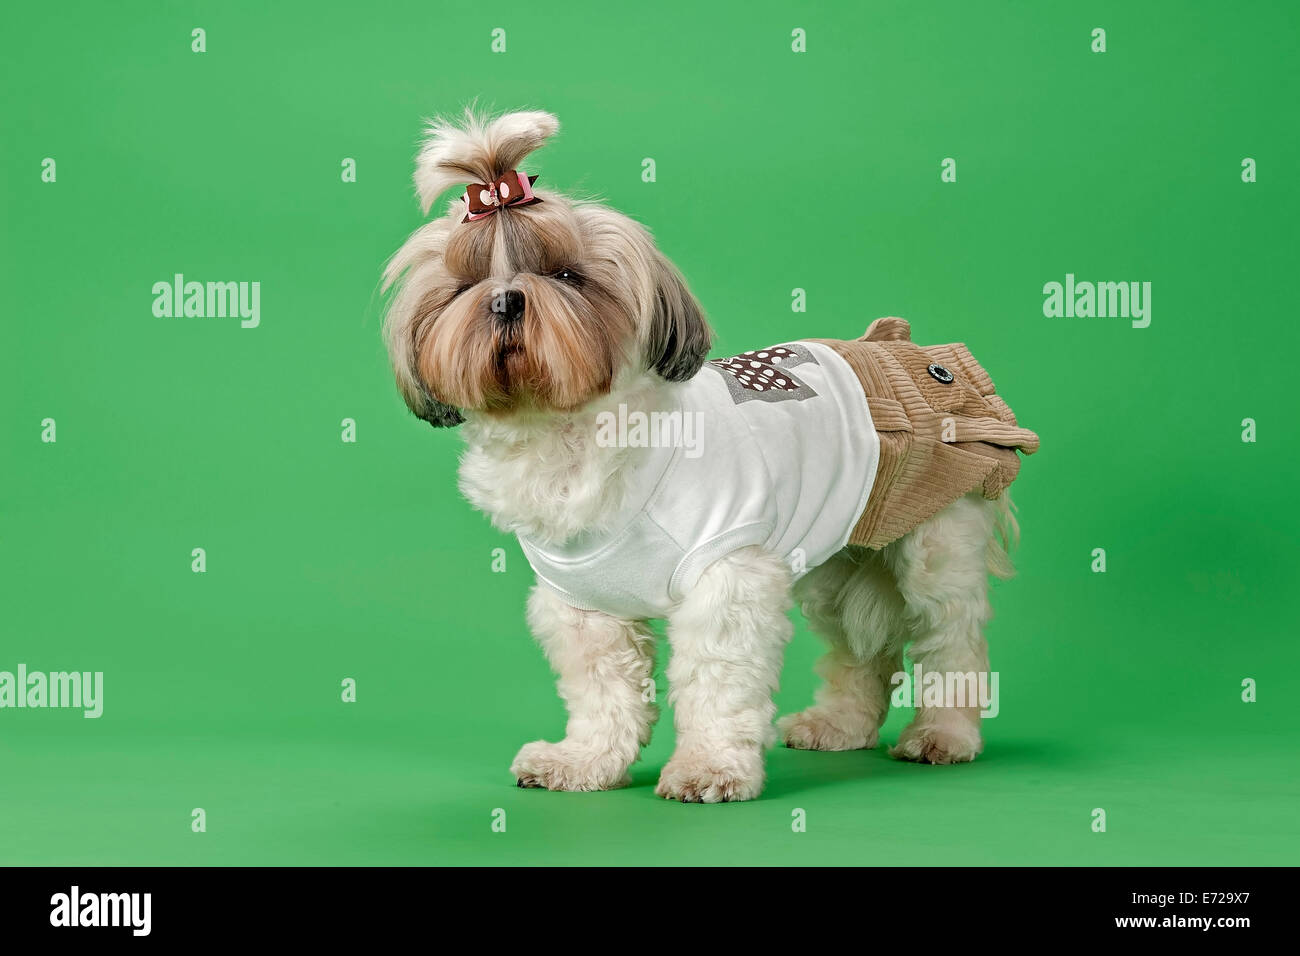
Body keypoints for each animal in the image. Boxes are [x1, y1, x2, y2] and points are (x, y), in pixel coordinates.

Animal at [379, 108, 1034, 806]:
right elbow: (603, 694)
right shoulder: (582, 608)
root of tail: (903, 347)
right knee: (863, 647)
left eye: (568, 277)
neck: (569, 440)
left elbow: (717, 683)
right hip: (840, 563)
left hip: (935, 544)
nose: (504, 299)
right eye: (465, 286)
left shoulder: (727, 582)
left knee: (952, 640)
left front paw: (710, 768)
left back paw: (944, 735)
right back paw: (840, 725)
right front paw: (585, 762)